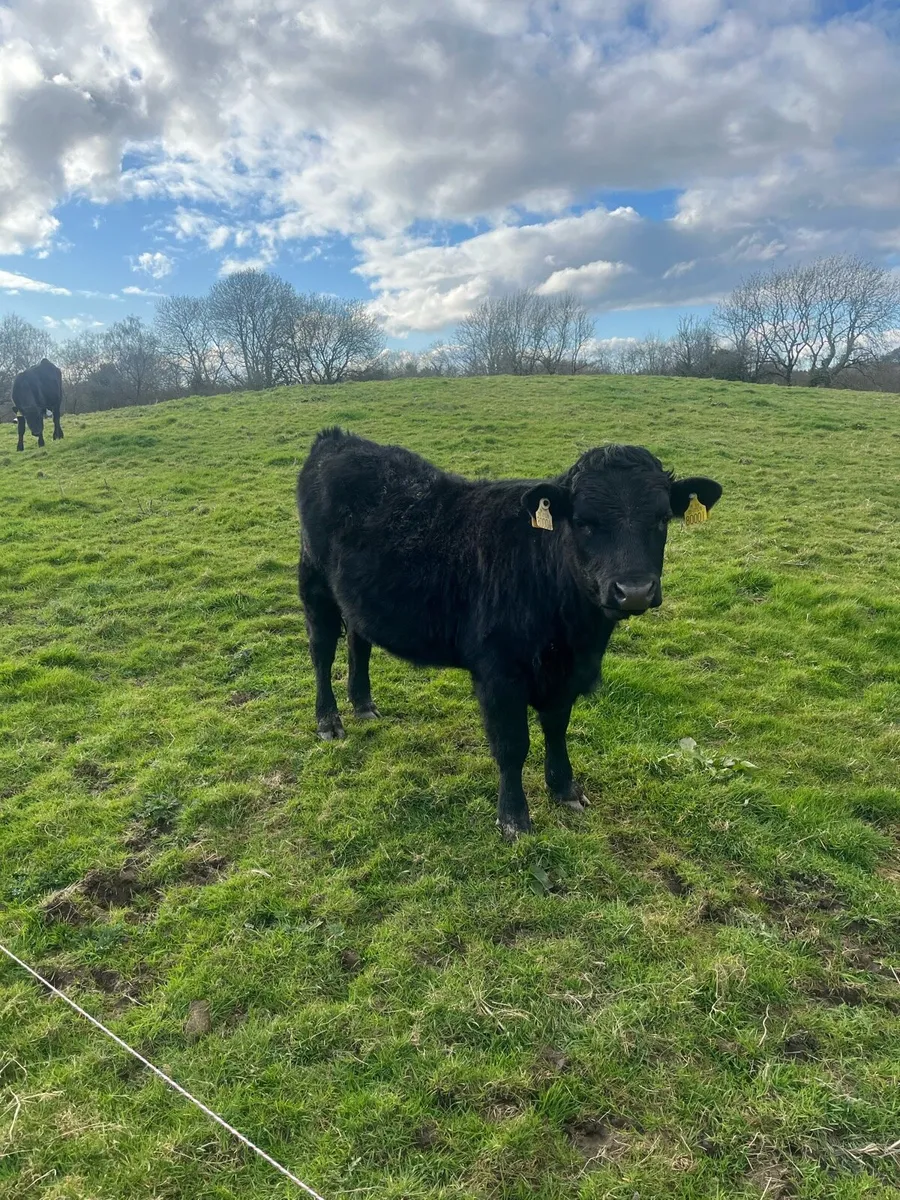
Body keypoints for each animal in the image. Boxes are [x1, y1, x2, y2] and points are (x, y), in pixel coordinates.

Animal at [297, 427, 722, 839]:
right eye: (584, 522)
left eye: (662, 519)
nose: (633, 590)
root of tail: (339, 439)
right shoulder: (498, 674)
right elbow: (512, 745)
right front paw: (514, 818)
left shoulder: (565, 675)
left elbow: (556, 727)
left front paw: (564, 788)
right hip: (314, 580)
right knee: (322, 650)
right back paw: (329, 721)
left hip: (355, 596)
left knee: (358, 640)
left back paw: (363, 704)